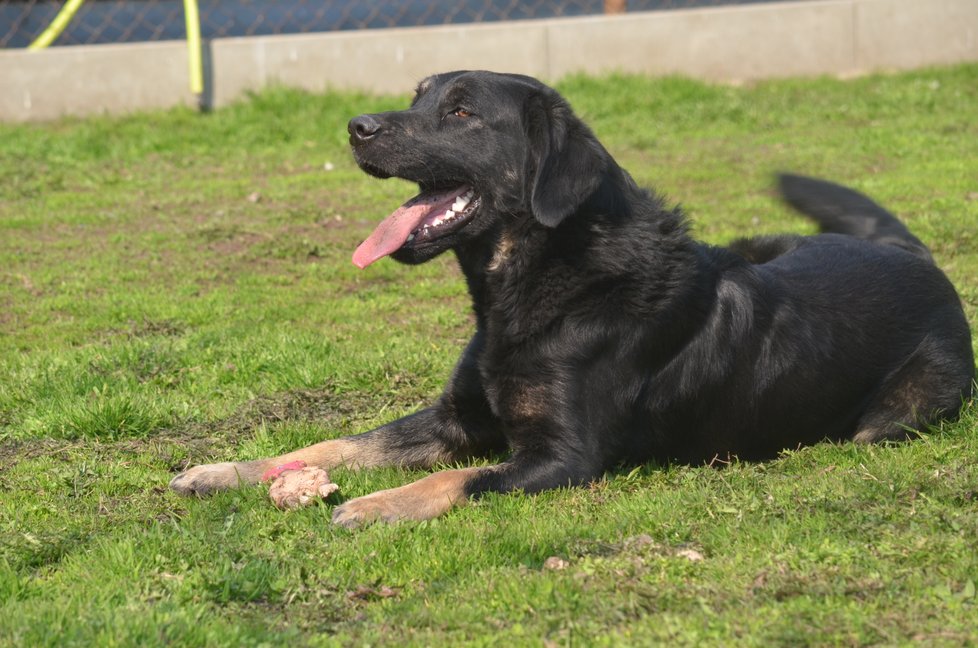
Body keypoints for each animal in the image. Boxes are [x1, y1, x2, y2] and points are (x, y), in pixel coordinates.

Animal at [172, 71, 972, 528]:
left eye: (461, 113)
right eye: (416, 97)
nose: (356, 127)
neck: (532, 285)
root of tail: (914, 254)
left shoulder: (562, 457)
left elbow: (458, 478)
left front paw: (373, 505)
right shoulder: (454, 417)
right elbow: (335, 442)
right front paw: (228, 472)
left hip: (897, 416)